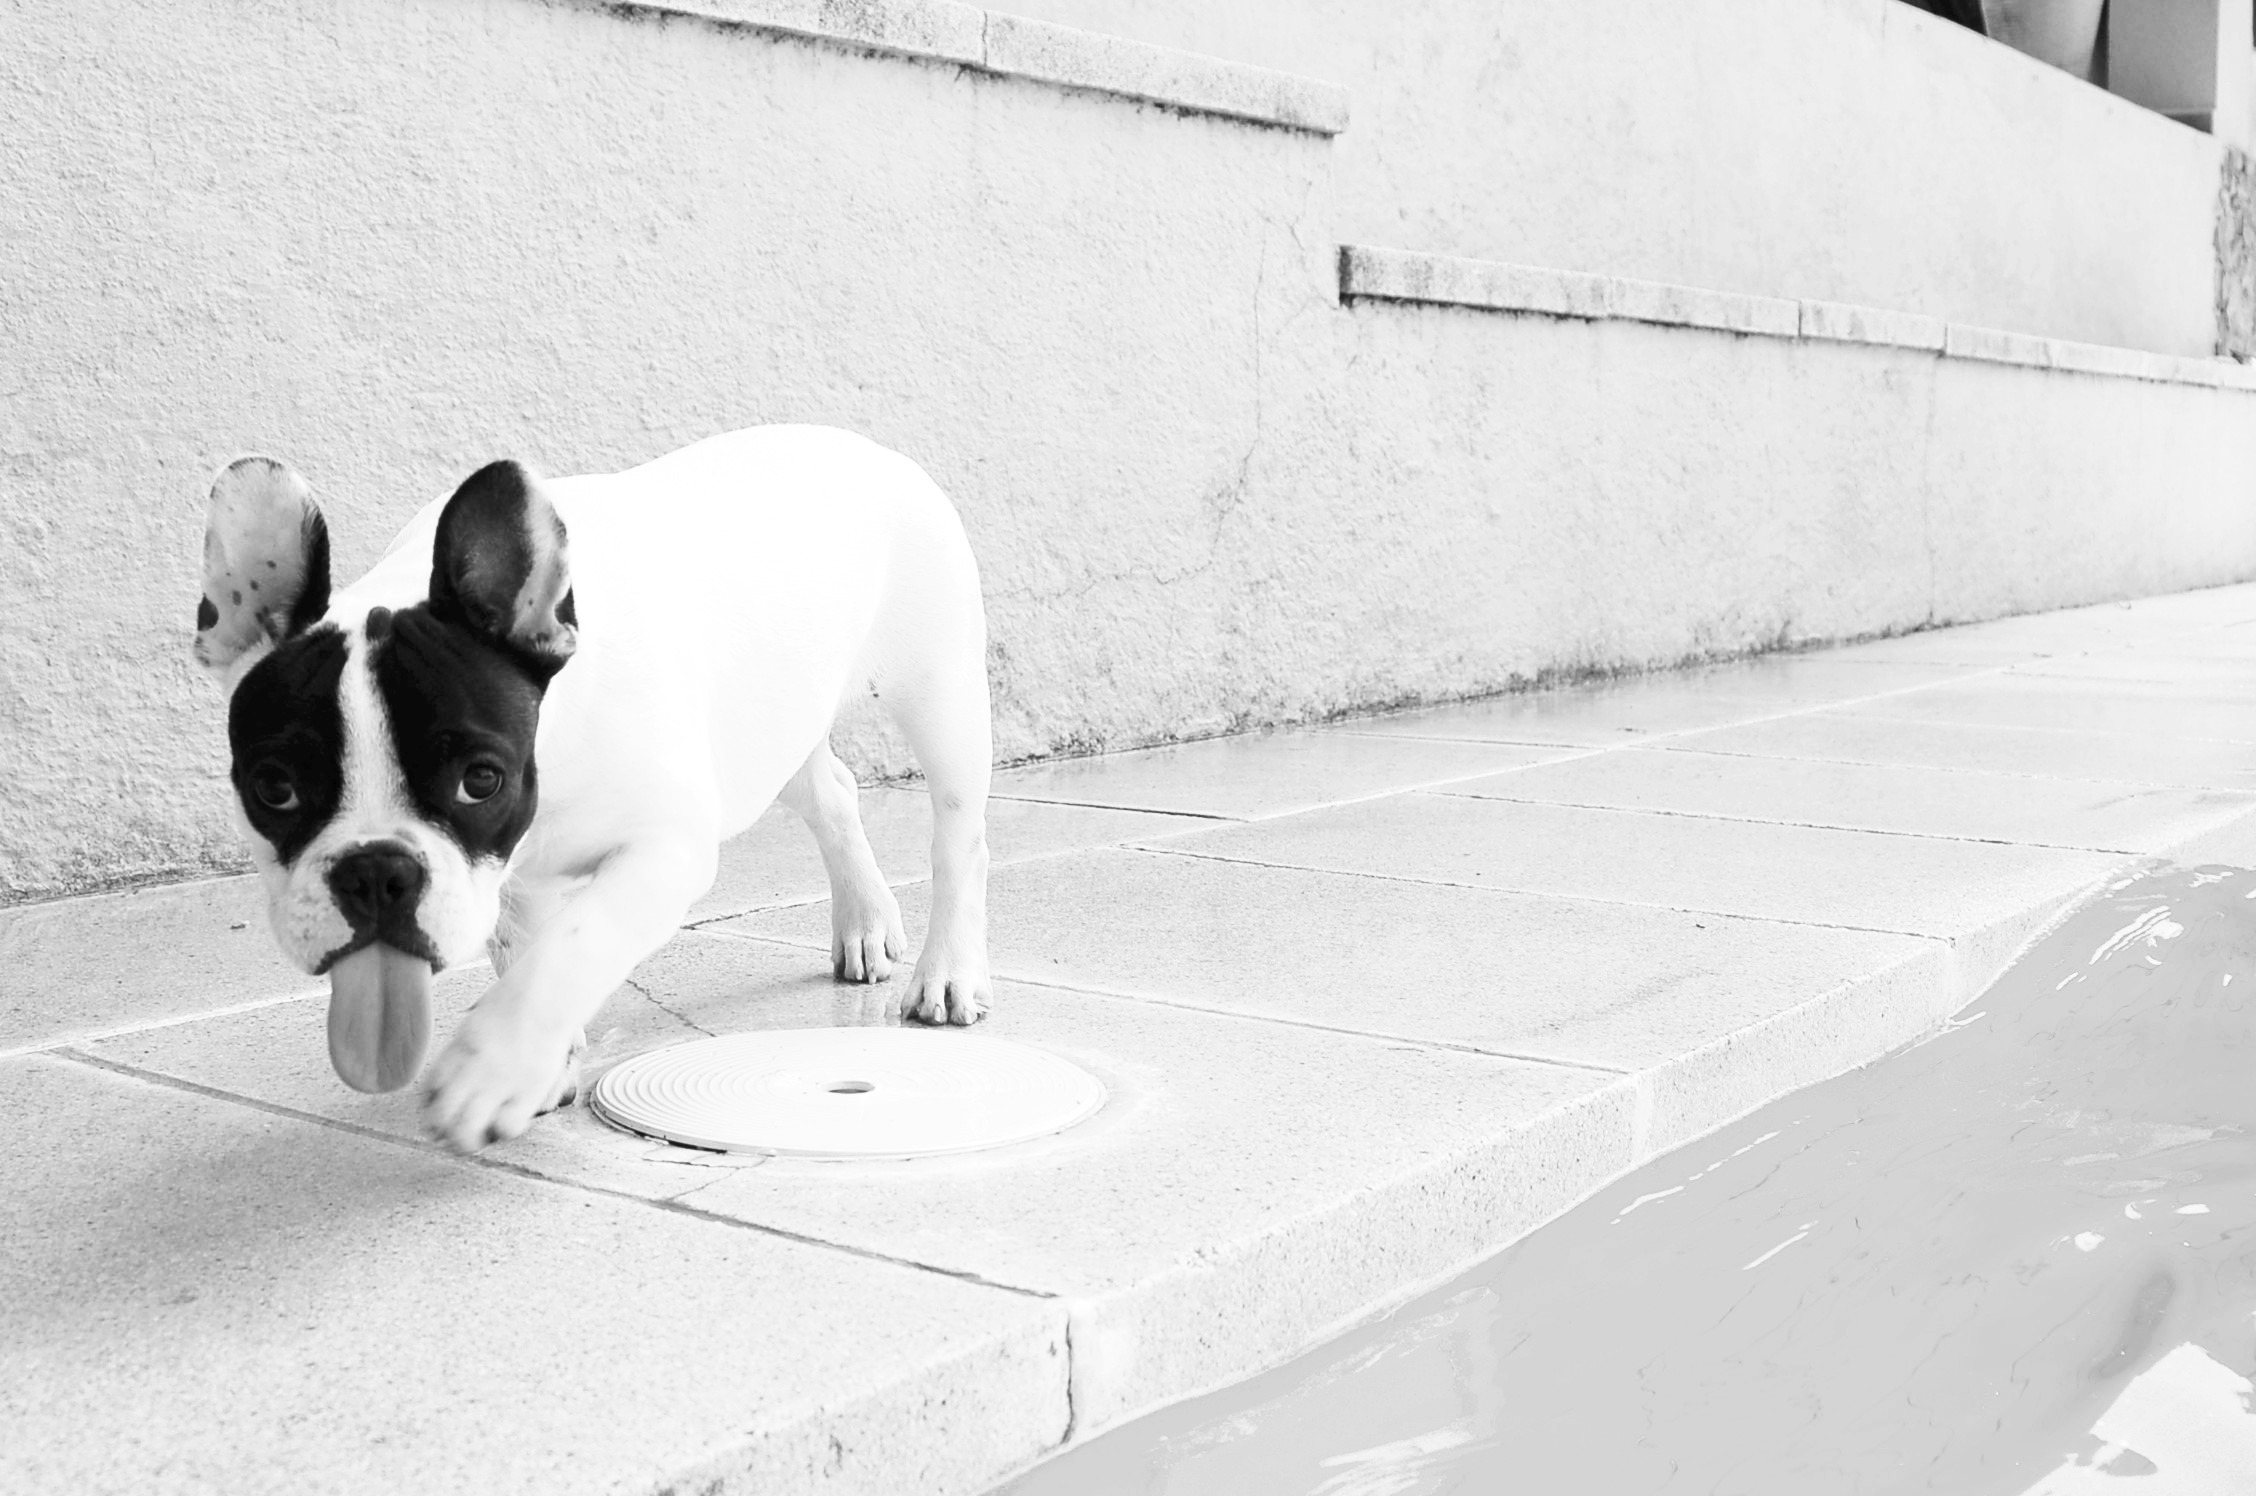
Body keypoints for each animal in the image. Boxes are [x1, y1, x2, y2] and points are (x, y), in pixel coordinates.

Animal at [196, 426, 997, 1150]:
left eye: (480, 780)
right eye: (274, 789)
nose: (373, 873)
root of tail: (863, 445)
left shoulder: (664, 845)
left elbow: (576, 945)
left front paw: (494, 1065)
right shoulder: (514, 882)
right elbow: (521, 950)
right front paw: (540, 1063)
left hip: (940, 692)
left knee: (958, 837)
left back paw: (947, 974)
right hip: (771, 729)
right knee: (831, 791)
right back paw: (865, 921)